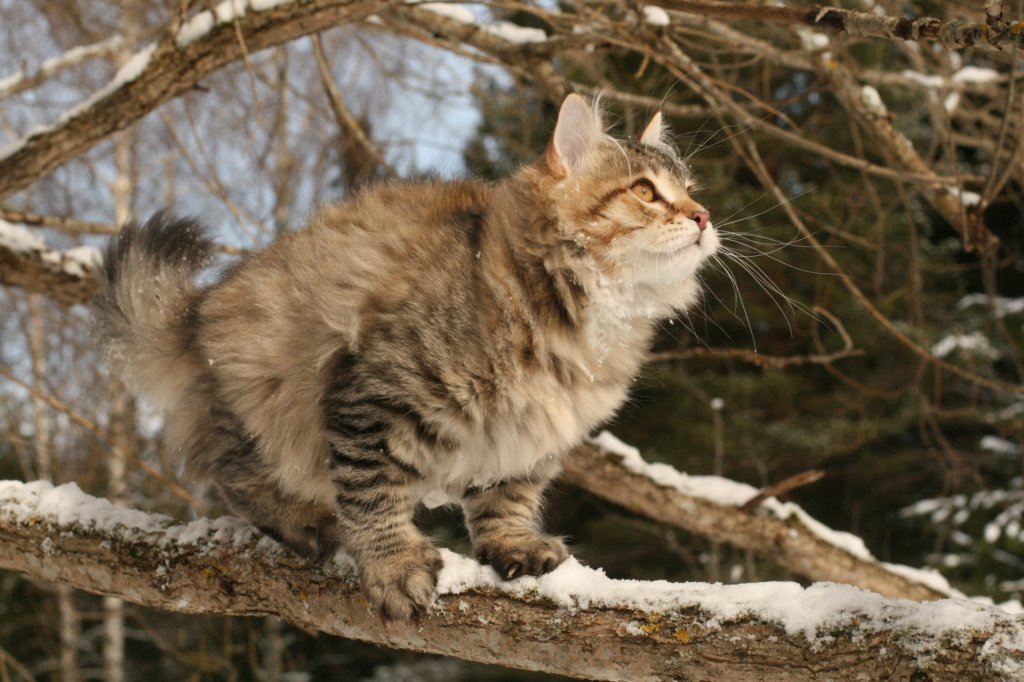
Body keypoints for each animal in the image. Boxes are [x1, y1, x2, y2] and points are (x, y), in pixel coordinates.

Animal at [92, 94, 718, 621]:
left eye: (691, 188)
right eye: (645, 191)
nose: (703, 217)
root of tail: (199, 311)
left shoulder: (529, 439)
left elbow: (507, 500)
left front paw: (511, 545)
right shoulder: (376, 396)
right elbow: (373, 494)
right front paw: (393, 565)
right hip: (264, 396)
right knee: (234, 475)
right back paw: (309, 521)